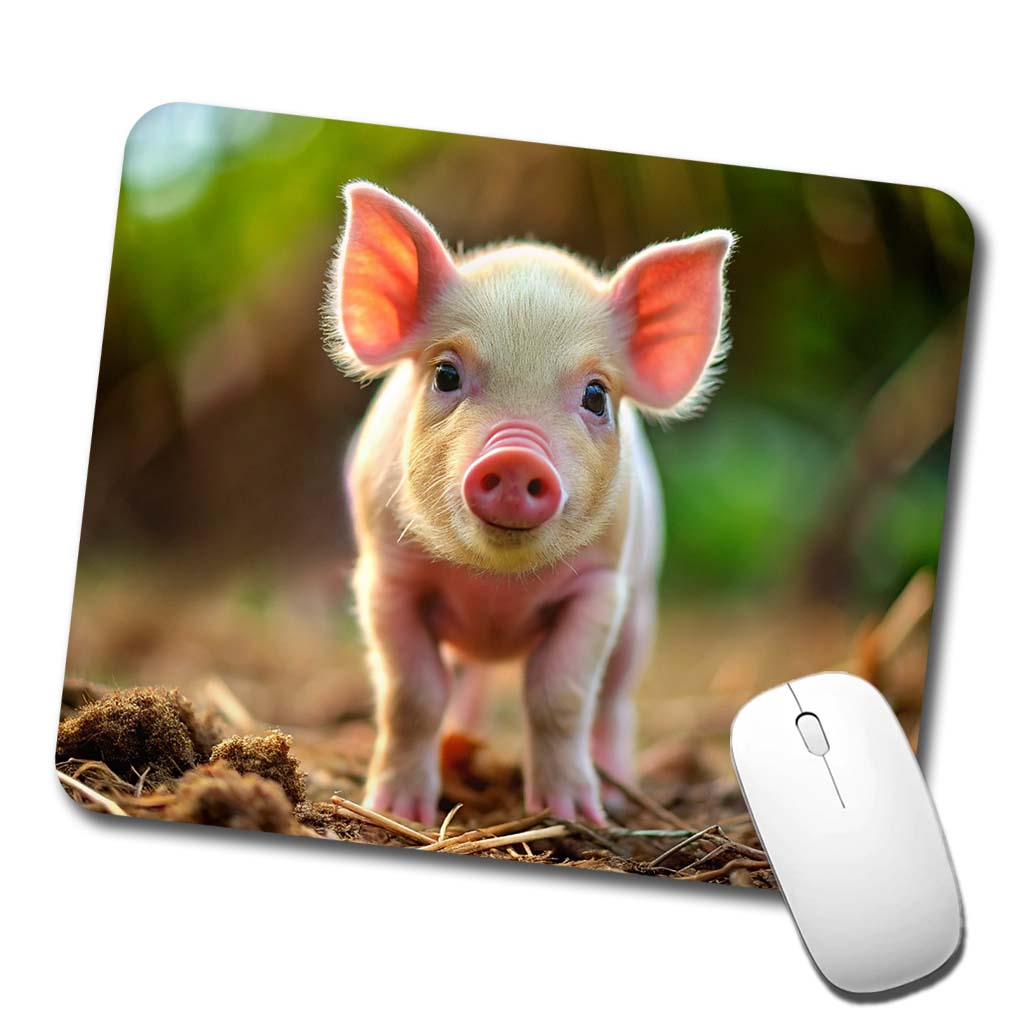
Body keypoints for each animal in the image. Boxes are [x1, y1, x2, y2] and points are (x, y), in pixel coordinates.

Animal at [326, 181, 734, 825]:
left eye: (596, 395)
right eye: (445, 375)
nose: (517, 457)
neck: (497, 587)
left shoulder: (600, 588)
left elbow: (559, 694)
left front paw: (571, 814)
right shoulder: (385, 578)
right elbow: (412, 693)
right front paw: (397, 810)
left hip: (640, 612)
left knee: (615, 700)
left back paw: (617, 792)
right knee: (464, 685)